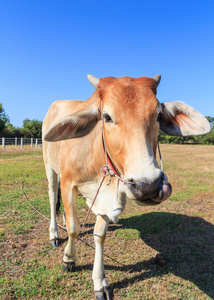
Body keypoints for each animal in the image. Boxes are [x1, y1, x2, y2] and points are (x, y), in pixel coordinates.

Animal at [42, 74, 211, 298]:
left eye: (158, 115)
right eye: (106, 116)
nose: (148, 186)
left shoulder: (106, 199)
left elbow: (99, 235)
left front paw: (100, 281)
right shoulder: (68, 184)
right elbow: (73, 228)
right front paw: (69, 258)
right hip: (50, 168)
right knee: (53, 197)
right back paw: (54, 234)